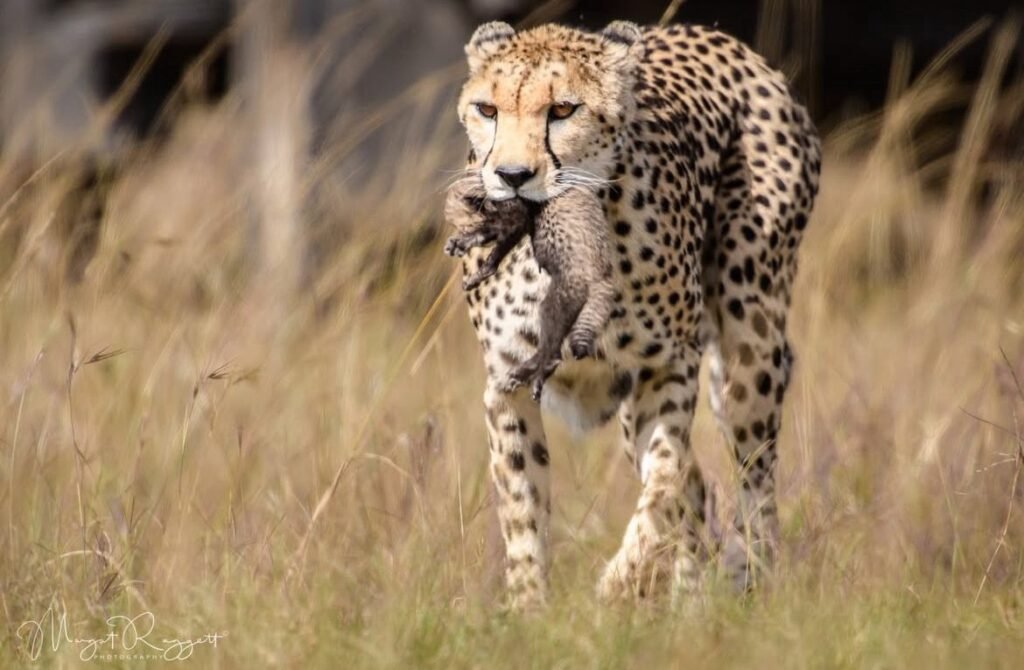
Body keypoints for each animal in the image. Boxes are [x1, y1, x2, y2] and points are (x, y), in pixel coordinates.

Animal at [444, 179, 615, 400]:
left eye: (465, 224)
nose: (459, 238)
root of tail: (604, 278)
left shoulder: (515, 218)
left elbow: (495, 251)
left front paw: (476, 271)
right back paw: (521, 375)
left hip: (554, 304)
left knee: (553, 354)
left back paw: (529, 376)